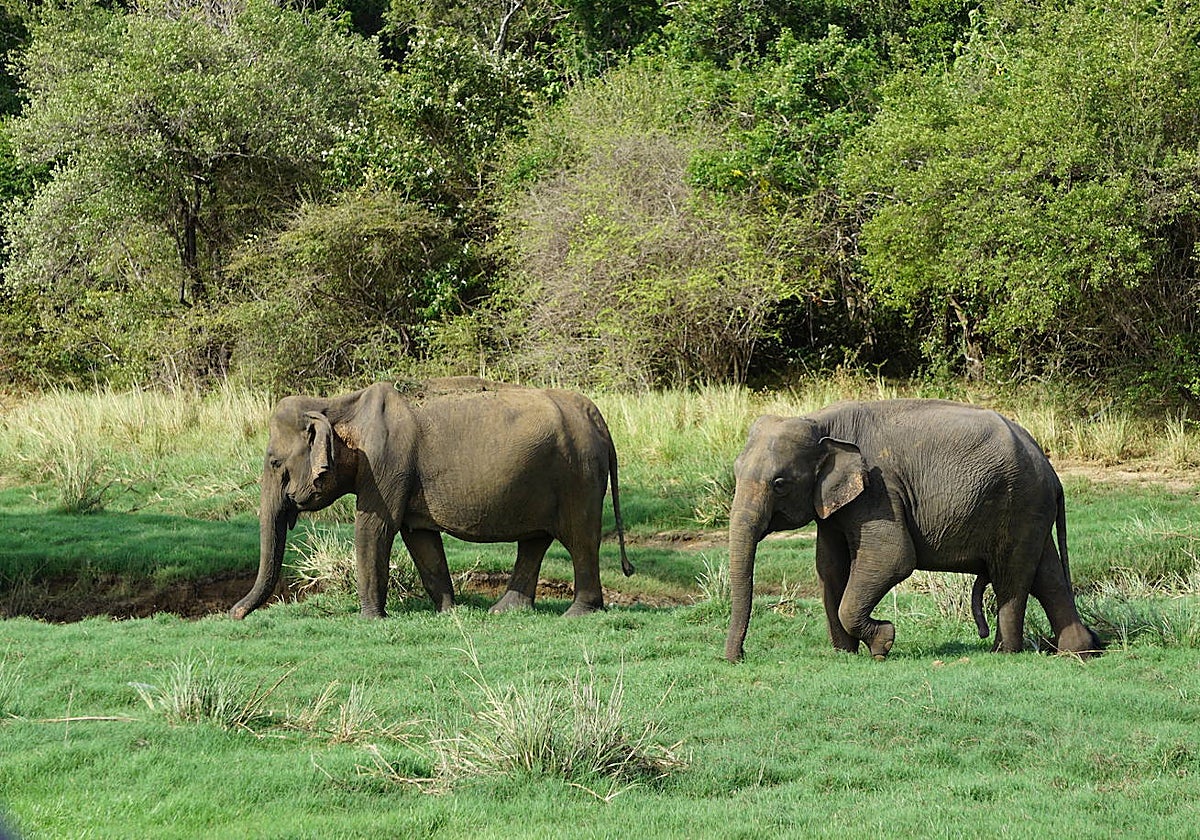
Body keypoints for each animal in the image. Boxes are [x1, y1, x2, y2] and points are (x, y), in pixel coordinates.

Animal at [229, 377, 633, 620]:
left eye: (274, 462)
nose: (234, 614)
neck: (338, 404)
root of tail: (601, 423)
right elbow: (420, 540)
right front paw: (450, 612)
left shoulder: (386, 466)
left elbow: (374, 530)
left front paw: (370, 618)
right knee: (535, 541)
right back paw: (504, 611)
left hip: (579, 476)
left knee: (580, 540)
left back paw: (577, 612)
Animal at [724, 399, 1101, 662]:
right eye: (735, 471)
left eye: (780, 484)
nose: (736, 658)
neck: (817, 420)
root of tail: (1052, 471)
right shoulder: (835, 504)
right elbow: (829, 567)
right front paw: (845, 654)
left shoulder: (879, 488)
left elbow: (892, 557)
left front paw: (883, 644)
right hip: (1031, 510)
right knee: (1046, 573)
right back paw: (1078, 651)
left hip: (1019, 501)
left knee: (1012, 575)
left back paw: (1002, 652)